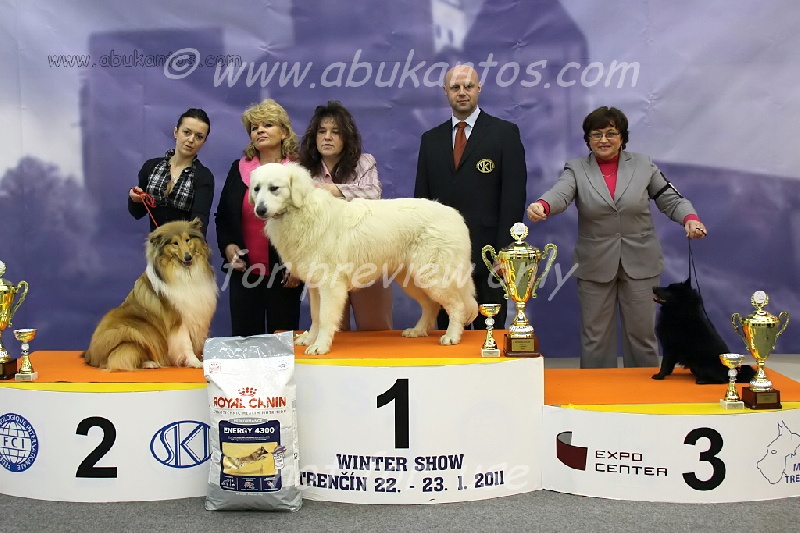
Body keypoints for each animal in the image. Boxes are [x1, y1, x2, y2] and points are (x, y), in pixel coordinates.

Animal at [83, 219, 218, 371]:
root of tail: (90, 356)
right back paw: (150, 363)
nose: (188, 257)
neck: (184, 273)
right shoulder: (179, 320)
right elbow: (187, 344)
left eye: (187, 239)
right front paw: (195, 362)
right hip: (133, 331)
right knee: (120, 360)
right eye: (175, 243)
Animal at [249, 162, 479, 355]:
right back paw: (417, 331)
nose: (259, 210)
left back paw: (451, 337)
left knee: (457, 305)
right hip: (413, 280)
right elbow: (315, 316)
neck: (301, 212)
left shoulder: (330, 285)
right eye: (256, 189)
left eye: (274, 188)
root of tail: (455, 215)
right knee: (431, 305)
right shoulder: (315, 286)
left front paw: (320, 346)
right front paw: (310, 339)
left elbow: (325, 317)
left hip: (434, 277)